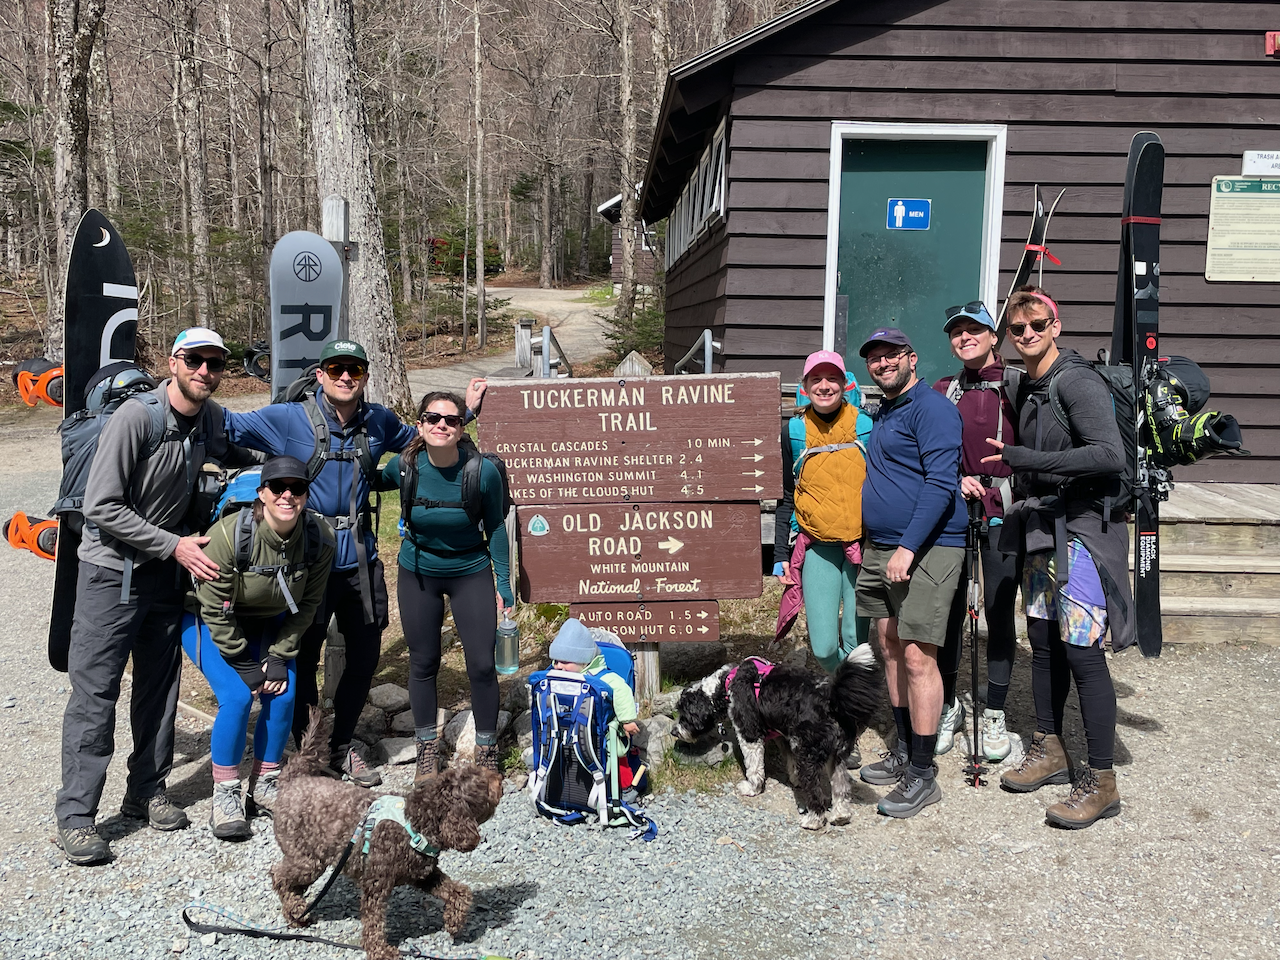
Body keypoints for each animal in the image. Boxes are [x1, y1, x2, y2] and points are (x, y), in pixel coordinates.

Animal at [272, 706, 501, 960]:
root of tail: (292, 781)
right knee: (278, 876)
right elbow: (374, 921)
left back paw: (297, 913)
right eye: (483, 784)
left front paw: (454, 922)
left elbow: (459, 891)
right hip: (307, 860)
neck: (417, 821)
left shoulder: (423, 874)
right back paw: (295, 910)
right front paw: (379, 950)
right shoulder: (376, 883)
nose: (499, 778)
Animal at [670, 647, 880, 829]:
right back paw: (840, 815)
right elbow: (790, 760)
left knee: (816, 792)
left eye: (684, 715)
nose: (674, 731)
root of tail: (831, 701)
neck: (725, 685)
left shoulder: (750, 734)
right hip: (836, 755)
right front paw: (794, 778)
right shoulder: (784, 736)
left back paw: (813, 820)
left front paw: (752, 788)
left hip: (809, 755)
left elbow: (754, 767)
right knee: (841, 787)